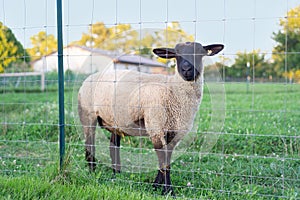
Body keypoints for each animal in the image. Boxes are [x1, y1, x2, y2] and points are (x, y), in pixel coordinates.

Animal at [78, 41, 224, 195]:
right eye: (176, 55)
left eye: (200, 53)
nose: (186, 69)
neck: (172, 90)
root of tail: (89, 78)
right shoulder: (156, 127)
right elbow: (164, 163)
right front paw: (168, 191)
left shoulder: (173, 132)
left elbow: (166, 161)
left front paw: (156, 186)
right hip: (88, 115)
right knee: (89, 145)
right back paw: (92, 172)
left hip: (115, 121)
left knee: (113, 146)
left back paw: (116, 174)